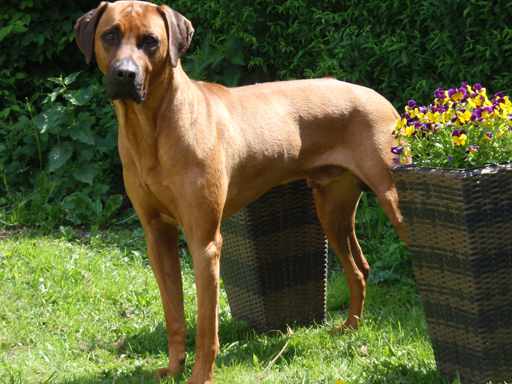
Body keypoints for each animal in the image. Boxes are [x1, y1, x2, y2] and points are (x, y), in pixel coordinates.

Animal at [73, 1, 408, 382]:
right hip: (331, 209)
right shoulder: (157, 236)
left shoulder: (204, 243)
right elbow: (174, 315)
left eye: (150, 41)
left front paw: (200, 376)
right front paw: (174, 368)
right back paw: (350, 328)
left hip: (394, 200)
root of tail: (381, 99)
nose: (125, 75)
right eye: (109, 35)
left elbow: (207, 327)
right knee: (360, 269)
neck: (151, 130)